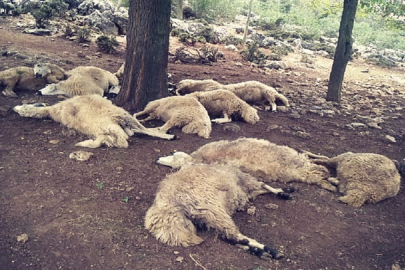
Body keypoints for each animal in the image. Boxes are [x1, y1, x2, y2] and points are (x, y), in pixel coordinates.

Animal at [145, 162, 294, 260]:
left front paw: (285, 192)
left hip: (207, 216)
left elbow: (262, 189)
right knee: (235, 236)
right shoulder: (245, 181)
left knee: (227, 237)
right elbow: (264, 185)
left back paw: (259, 252)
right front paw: (285, 192)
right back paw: (270, 251)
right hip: (213, 210)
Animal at [155, 137, 334, 192]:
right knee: (317, 167)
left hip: (301, 167)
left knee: (320, 169)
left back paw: (332, 183)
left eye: (173, 157)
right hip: (299, 168)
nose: (157, 159)